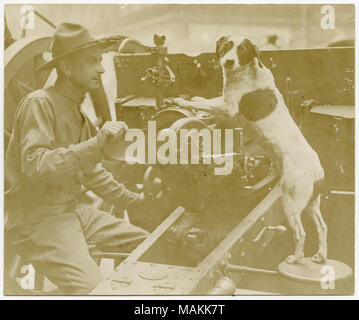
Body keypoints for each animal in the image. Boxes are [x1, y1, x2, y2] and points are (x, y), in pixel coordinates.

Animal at [173, 35, 328, 264]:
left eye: (243, 50)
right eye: (226, 46)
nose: (228, 62)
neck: (247, 72)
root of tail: (317, 171)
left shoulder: (228, 107)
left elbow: (208, 105)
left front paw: (181, 101)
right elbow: (208, 101)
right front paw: (196, 99)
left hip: (290, 201)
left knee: (301, 233)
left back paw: (296, 257)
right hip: (310, 203)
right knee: (322, 227)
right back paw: (320, 255)